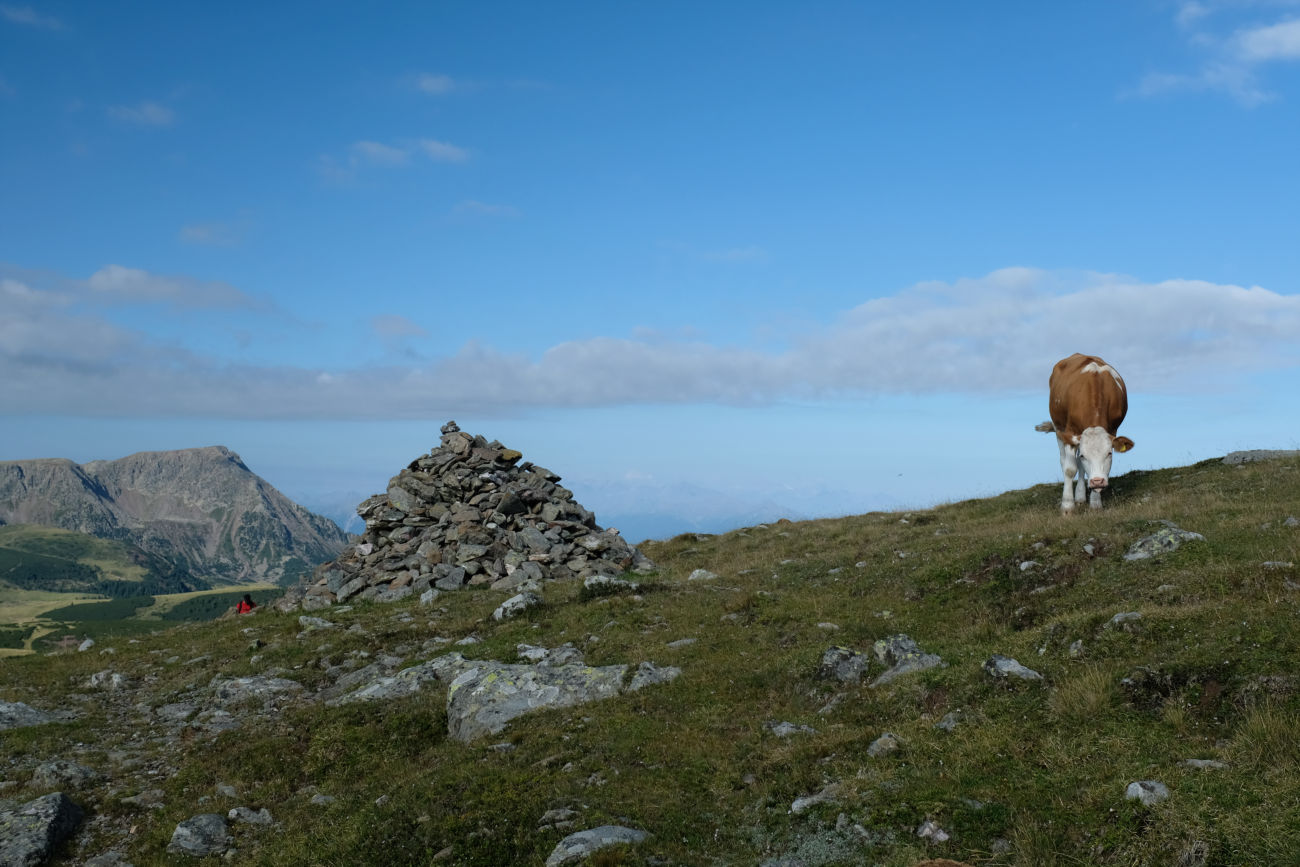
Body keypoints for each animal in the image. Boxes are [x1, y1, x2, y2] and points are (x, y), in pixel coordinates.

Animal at [1034, 353, 1134, 512]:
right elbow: (1070, 469)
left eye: (1109, 453)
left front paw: (1095, 503)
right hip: (1058, 428)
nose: (1097, 481)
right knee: (1064, 461)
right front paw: (1067, 506)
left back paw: (1081, 496)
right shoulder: (1070, 431)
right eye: (1084, 455)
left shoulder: (1113, 429)